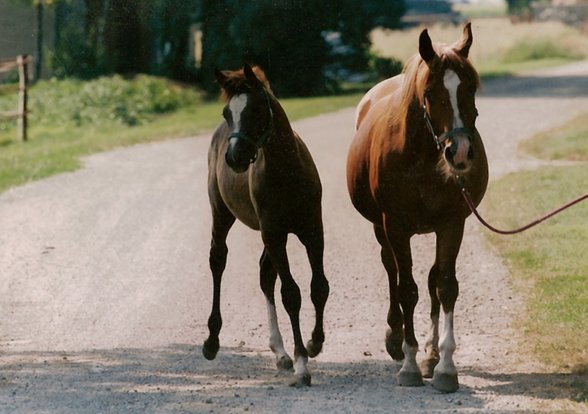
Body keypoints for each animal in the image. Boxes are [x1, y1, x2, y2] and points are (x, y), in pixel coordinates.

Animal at [202, 63, 330, 386]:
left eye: (257, 109)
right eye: (227, 112)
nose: (234, 157)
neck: (286, 171)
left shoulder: (312, 230)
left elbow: (319, 287)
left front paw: (314, 343)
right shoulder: (274, 233)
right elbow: (292, 295)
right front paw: (302, 364)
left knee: (264, 274)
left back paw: (280, 352)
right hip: (223, 214)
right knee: (218, 260)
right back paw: (212, 341)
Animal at [346, 22, 490, 392]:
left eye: (470, 89)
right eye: (429, 93)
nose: (460, 152)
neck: (423, 157)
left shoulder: (452, 223)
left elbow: (445, 286)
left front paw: (444, 367)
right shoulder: (395, 226)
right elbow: (406, 290)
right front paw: (409, 364)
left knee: (432, 279)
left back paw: (431, 354)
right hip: (381, 228)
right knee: (392, 271)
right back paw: (396, 339)